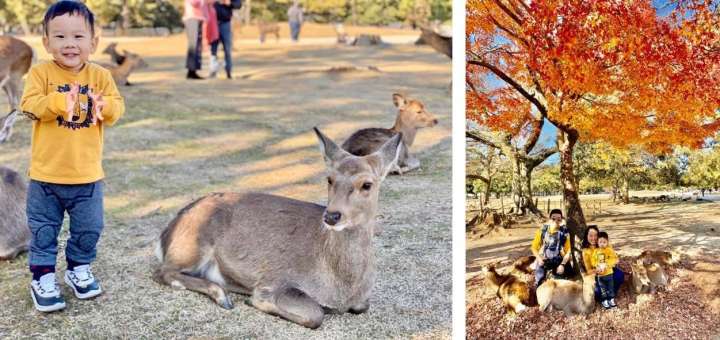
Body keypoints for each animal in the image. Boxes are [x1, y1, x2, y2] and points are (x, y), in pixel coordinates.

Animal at [156, 128, 404, 330]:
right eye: (329, 179)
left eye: (367, 184)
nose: (332, 215)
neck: (343, 289)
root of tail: (166, 232)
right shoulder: (275, 280)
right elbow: (315, 314)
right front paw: (254, 300)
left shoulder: (362, 300)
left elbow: (363, 306)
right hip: (192, 245)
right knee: (163, 271)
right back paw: (222, 296)